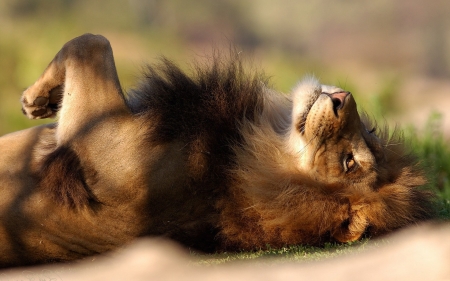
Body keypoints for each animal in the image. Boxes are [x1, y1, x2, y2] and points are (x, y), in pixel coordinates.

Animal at [0, 34, 434, 266]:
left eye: (349, 163)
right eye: (370, 132)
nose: (344, 96)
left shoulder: (92, 136)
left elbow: (90, 44)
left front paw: (35, 98)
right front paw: (42, 102)